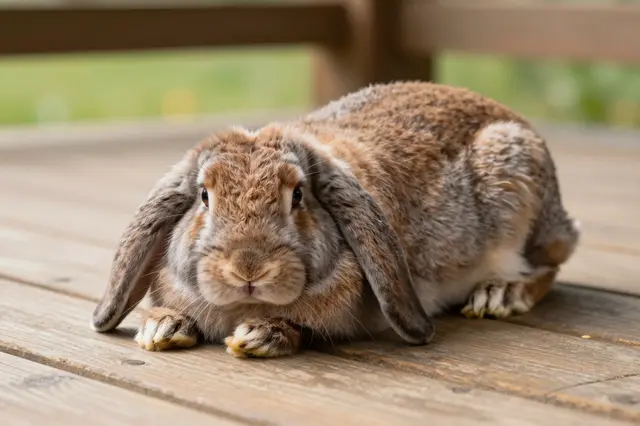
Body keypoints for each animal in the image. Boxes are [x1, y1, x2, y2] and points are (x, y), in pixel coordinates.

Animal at [91, 81, 580, 358]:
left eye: (298, 195)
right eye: (204, 197)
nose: (248, 268)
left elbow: (305, 329)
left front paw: (259, 336)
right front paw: (162, 327)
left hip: (517, 195)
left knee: (546, 268)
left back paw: (499, 294)